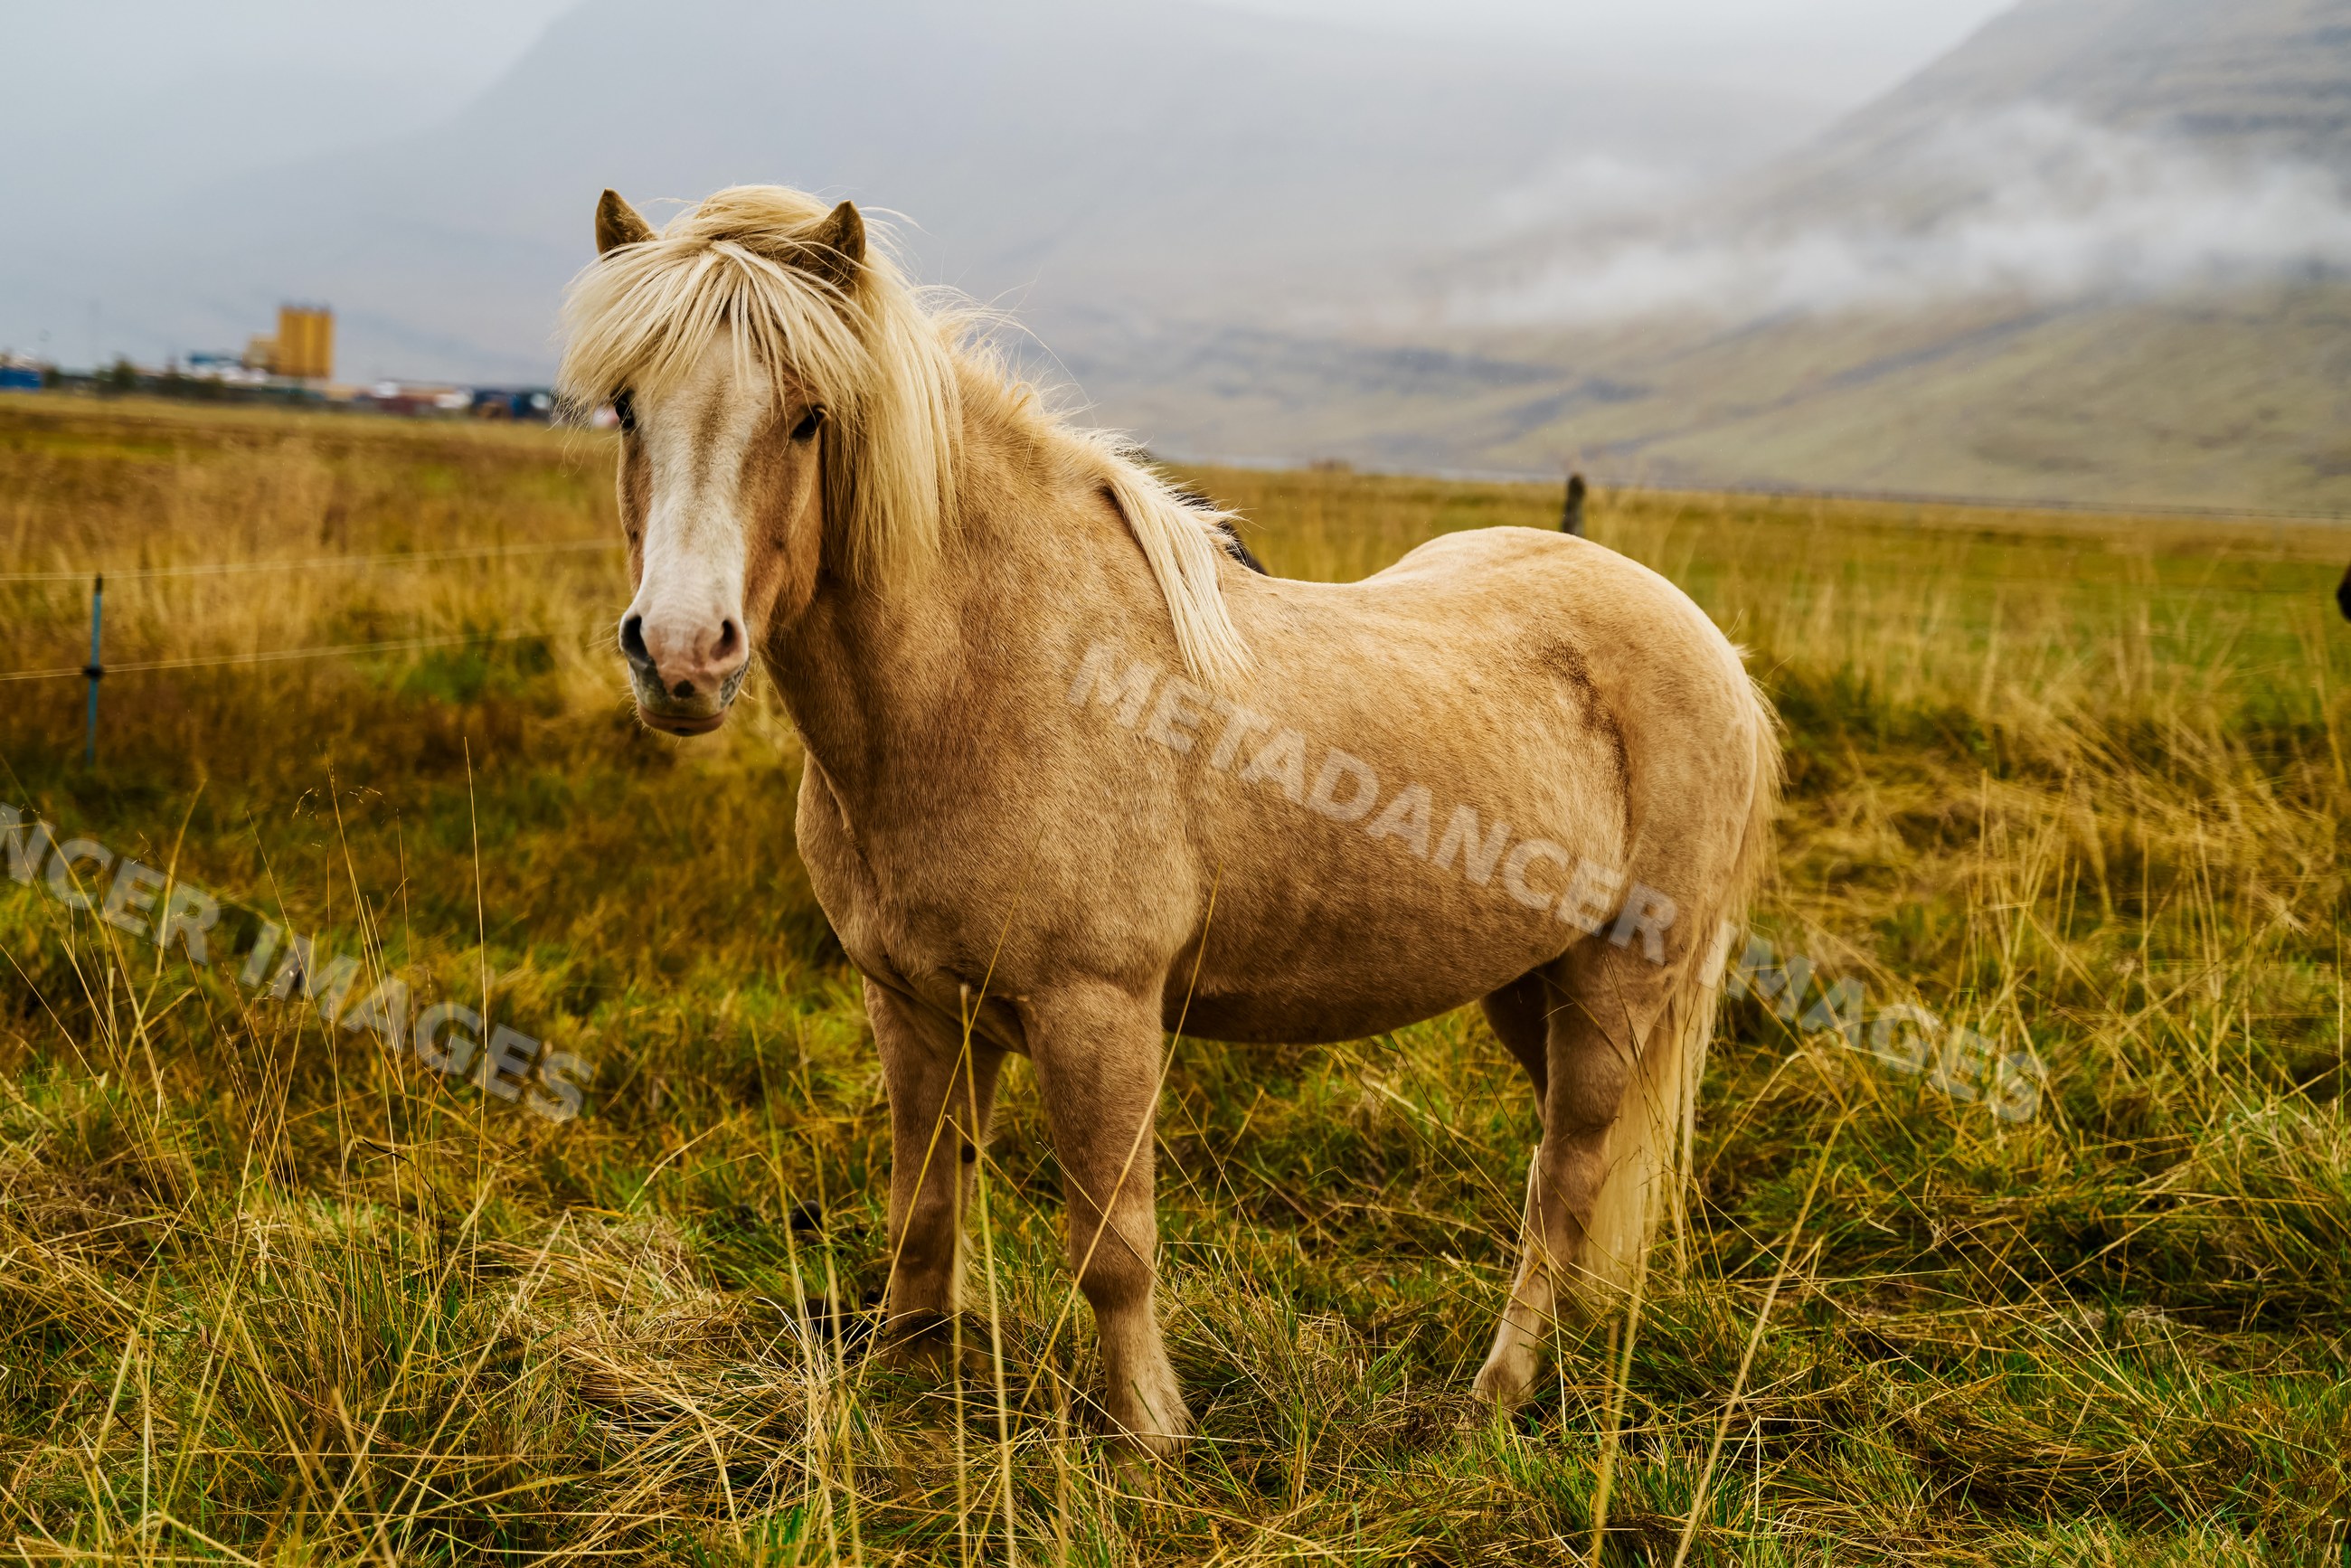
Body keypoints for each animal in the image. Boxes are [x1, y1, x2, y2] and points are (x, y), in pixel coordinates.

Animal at [559, 185, 1780, 1454]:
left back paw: (1496, 1395)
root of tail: (1706, 645)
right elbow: (923, 1207)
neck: (990, 683)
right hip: (1524, 986)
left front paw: (1148, 1433)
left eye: (808, 419)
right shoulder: (912, 1008)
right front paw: (904, 1379)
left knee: (1565, 1179)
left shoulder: (1096, 1012)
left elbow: (1113, 1243)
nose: (683, 655)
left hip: (1612, 988)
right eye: (625, 407)